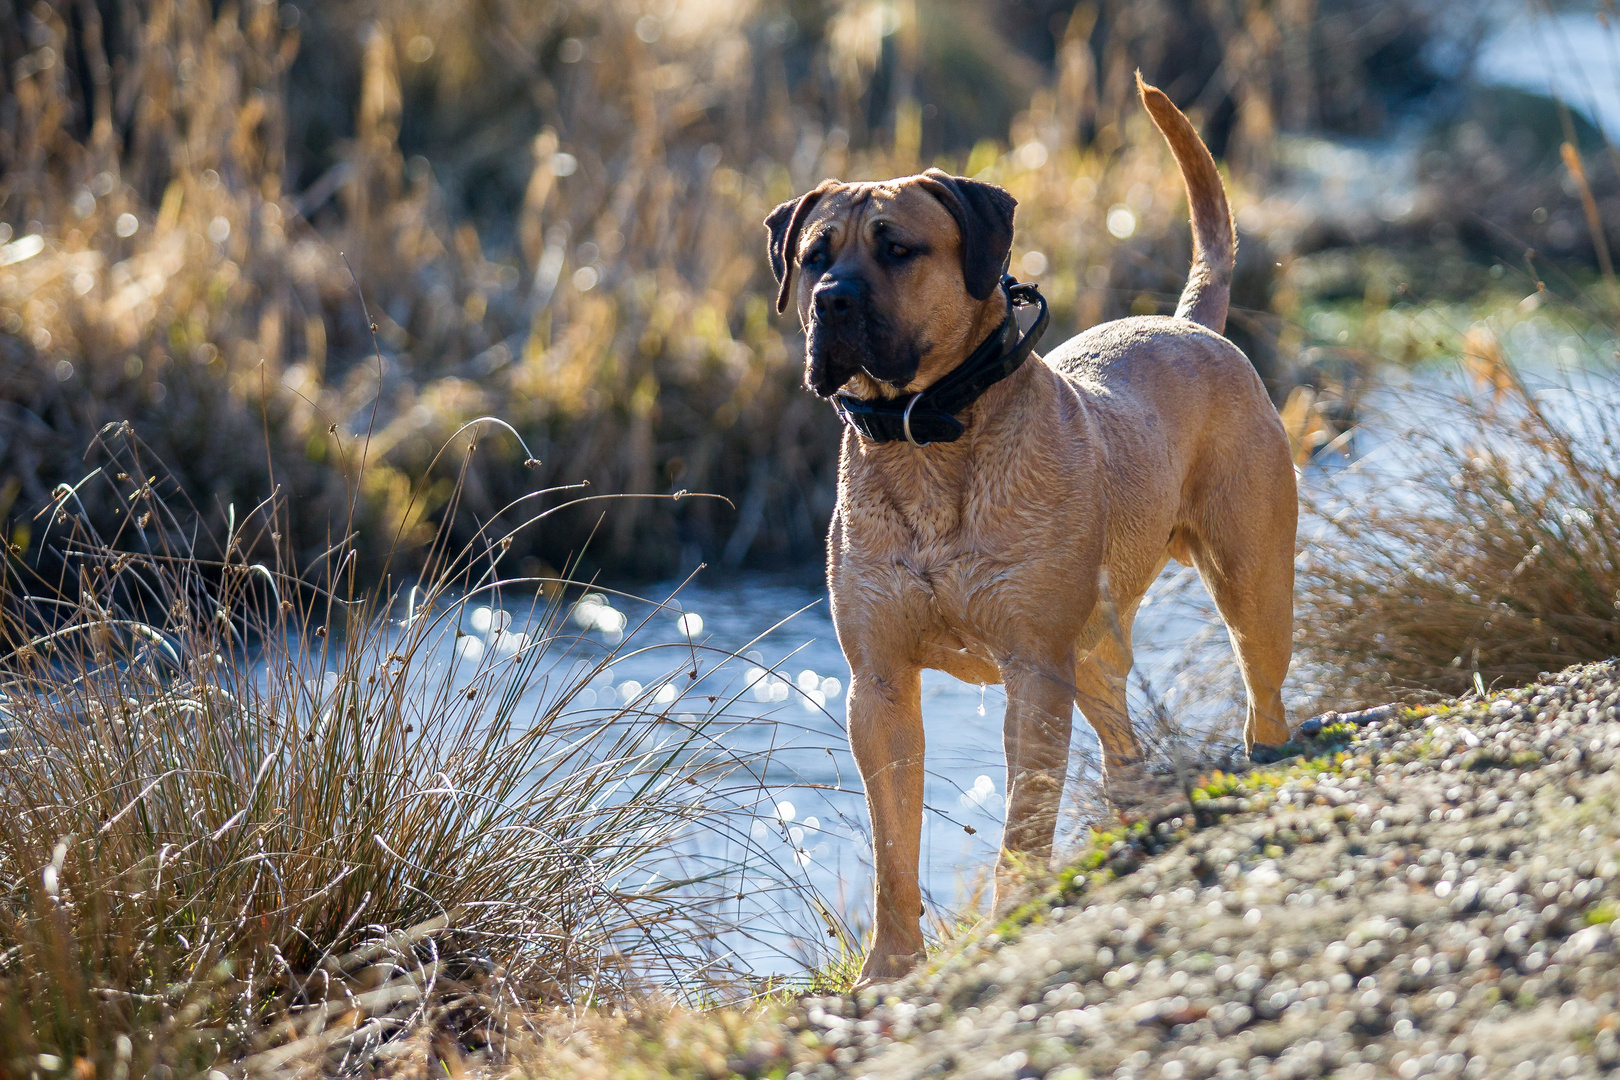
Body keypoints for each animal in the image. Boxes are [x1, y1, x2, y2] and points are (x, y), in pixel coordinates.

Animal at [764, 78, 1296, 990]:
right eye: (813, 255)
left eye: (897, 248)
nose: (832, 300)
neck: (924, 438)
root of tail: (1196, 326)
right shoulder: (878, 685)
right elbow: (893, 844)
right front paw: (889, 967)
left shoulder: (1031, 669)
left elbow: (1025, 817)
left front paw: (1013, 916)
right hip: (1094, 648)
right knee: (1124, 743)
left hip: (1250, 585)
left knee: (1264, 695)